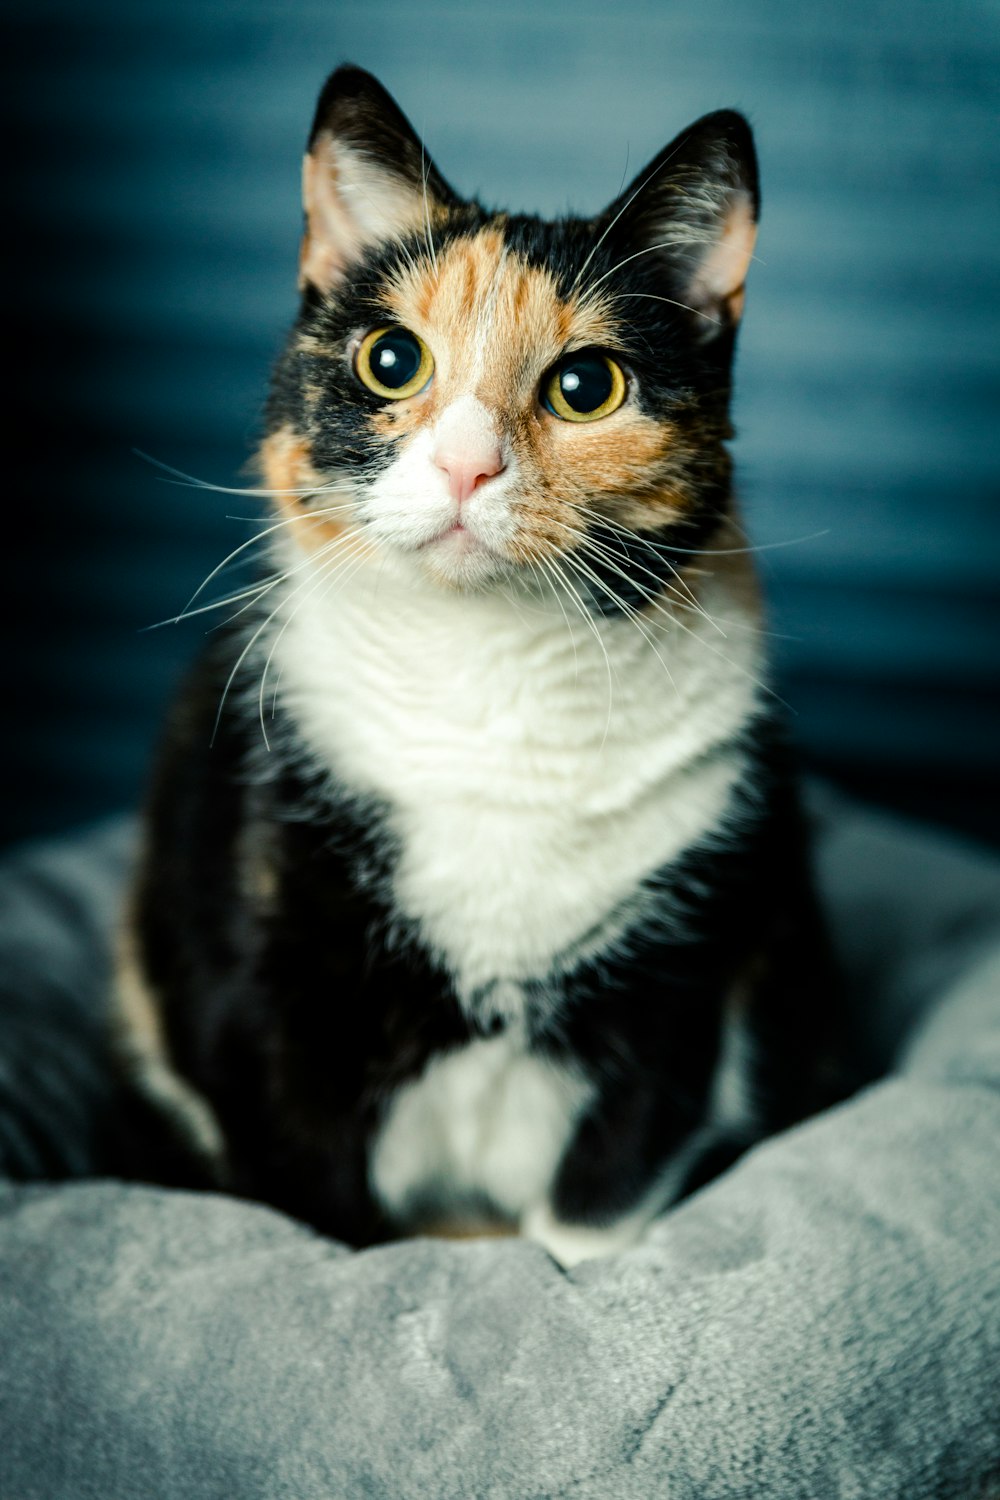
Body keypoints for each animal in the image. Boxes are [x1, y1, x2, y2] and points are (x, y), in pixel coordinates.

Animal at [121, 64, 851, 1272]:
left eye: (587, 384)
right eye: (390, 359)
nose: (467, 465)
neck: (485, 680)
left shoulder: (683, 978)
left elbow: (597, 1206)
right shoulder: (265, 991)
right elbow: (323, 1211)